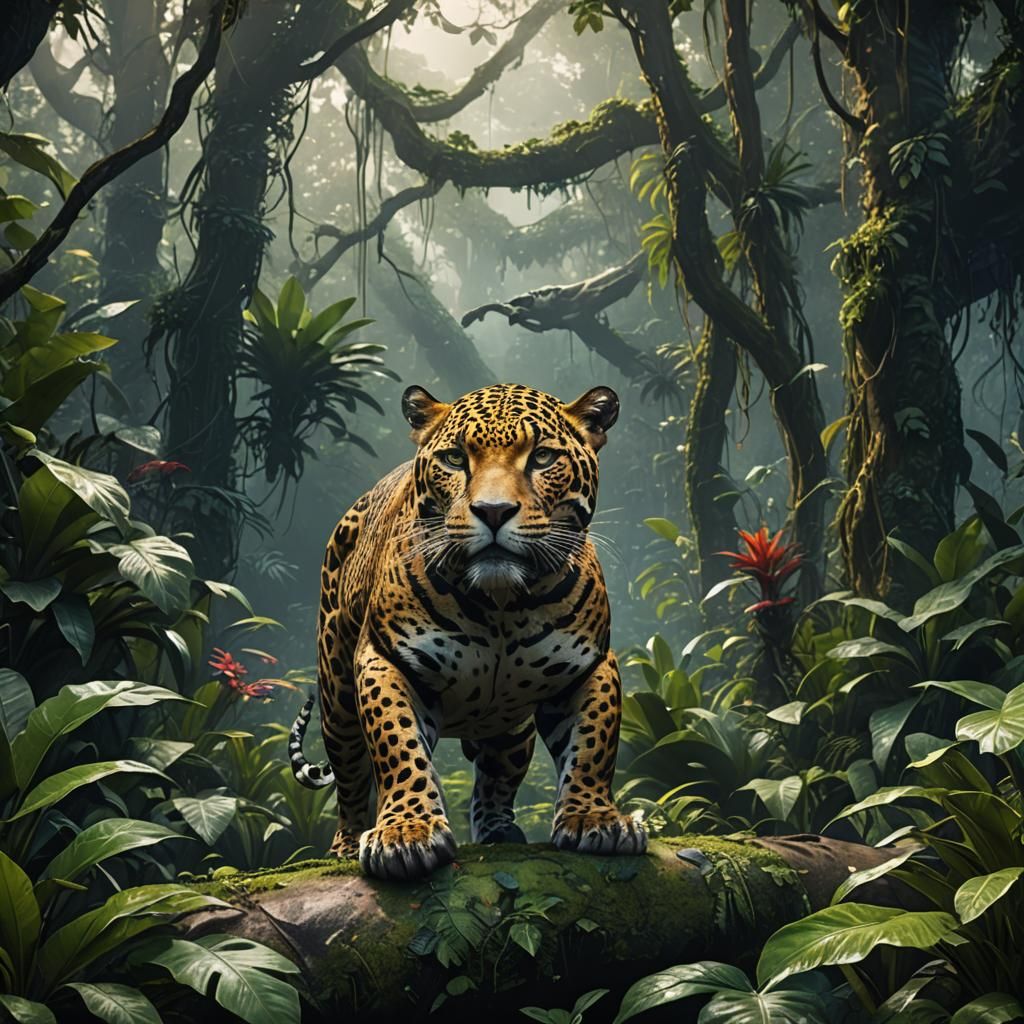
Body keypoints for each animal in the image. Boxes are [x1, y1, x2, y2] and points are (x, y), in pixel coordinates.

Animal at [288, 382, 646, 880]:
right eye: (455, 459)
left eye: (541, 457)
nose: (493, 511)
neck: (501, 606)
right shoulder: (385, 658)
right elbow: (398, 744)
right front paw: (407, 831)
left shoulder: (590, 665)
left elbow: (594, 743)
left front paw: (594, 818)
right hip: (336, 699)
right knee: (350, 777)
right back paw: (345, 843)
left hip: (511, 728)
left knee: (495, 778)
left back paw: (498, 830)